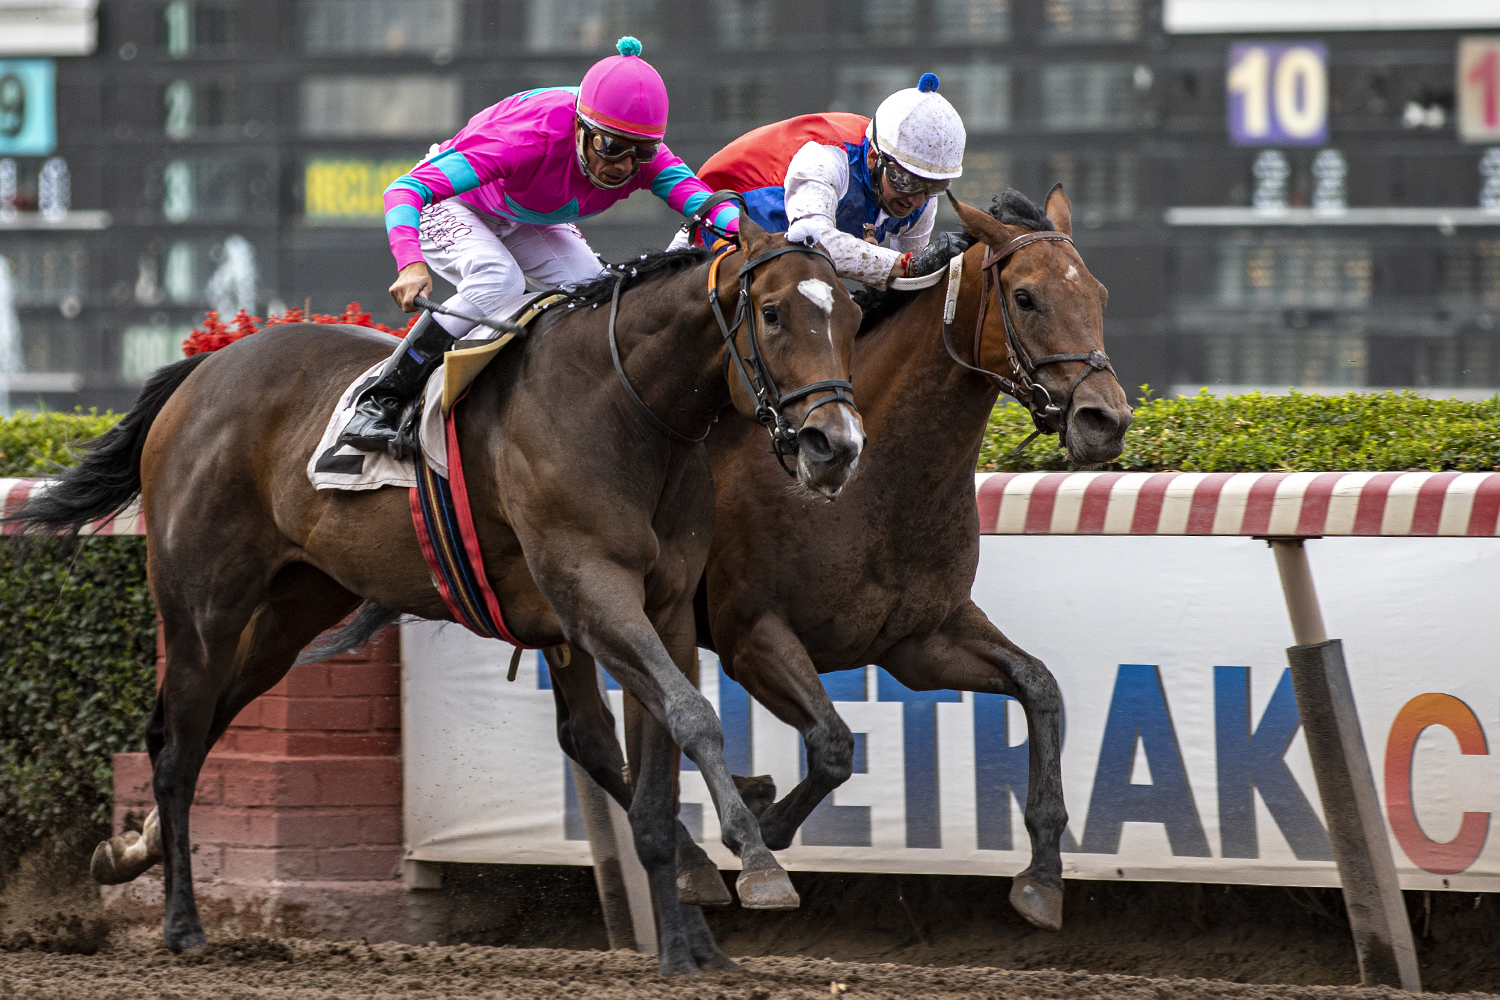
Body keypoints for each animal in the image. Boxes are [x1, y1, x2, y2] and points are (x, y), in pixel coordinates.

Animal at [11, 215, 865, 978]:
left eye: (854, 316)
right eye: (772, 312)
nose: (836, 446)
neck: (623, 410)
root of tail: (202, 371)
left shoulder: (662, 608)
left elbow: (664, 759)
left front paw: (694, 942)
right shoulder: (592, 591)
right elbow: (692, 718)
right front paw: (756, 862)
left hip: (290, 612)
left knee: (193, 728)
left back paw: (130, 851)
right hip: (202, 610)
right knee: (181, 748)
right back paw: (182, 925)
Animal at [549, 187, 1131, 944]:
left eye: (1099, 292)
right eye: (1026, 297)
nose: (1105, 420)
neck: (874, 481)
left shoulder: (919, 639)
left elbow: (1040, 686)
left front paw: (1042, 874)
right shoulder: (751, 635)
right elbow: (832, 742)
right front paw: (763, 834)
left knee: (589, 734)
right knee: (601, 734)